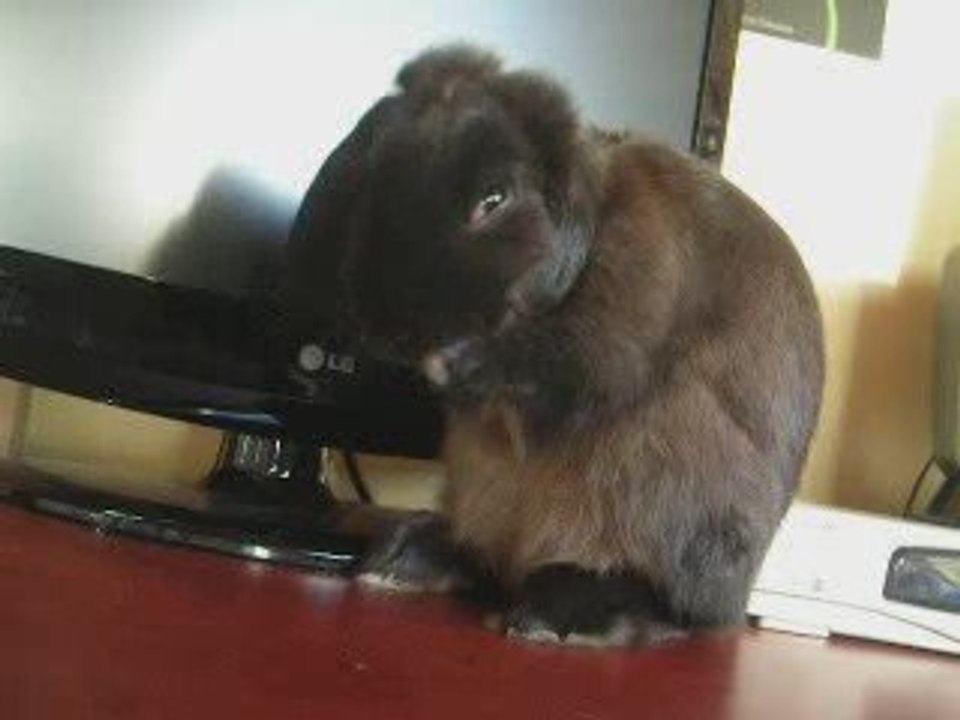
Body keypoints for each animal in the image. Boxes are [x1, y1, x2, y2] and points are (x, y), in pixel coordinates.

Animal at [286, 46, 824, 646]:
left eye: (493, 200)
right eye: (374, 172)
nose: (386, 318)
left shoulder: (618, 319)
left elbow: (564, 370)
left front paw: (454, 362)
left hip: (679, 493)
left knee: (670, 608)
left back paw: (555, 615)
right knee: (486, 561)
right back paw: (402, 560)